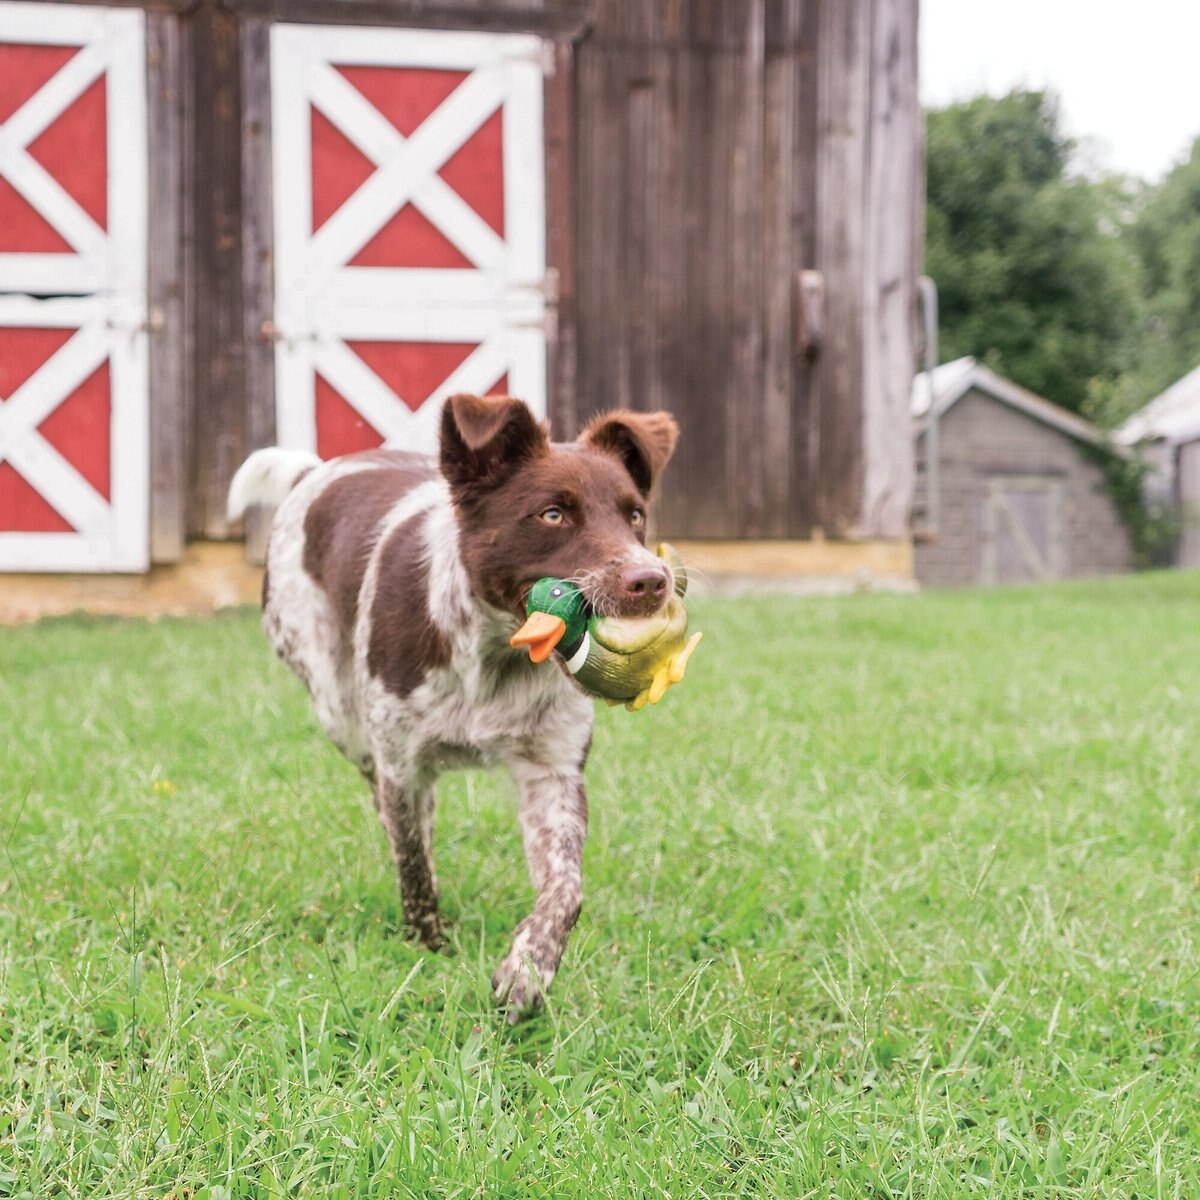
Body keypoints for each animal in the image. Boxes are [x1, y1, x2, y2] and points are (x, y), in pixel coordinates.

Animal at [225, 393, 676, 1022]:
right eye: (552, 515)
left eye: (635, 515)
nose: (653, 581)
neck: (496, 654)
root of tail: (312, 471)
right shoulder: (400, 763)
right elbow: (412, 863)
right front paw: (429, 945)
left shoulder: (554, 773)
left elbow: (566, 889)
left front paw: (528, 971)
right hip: (340, 710)